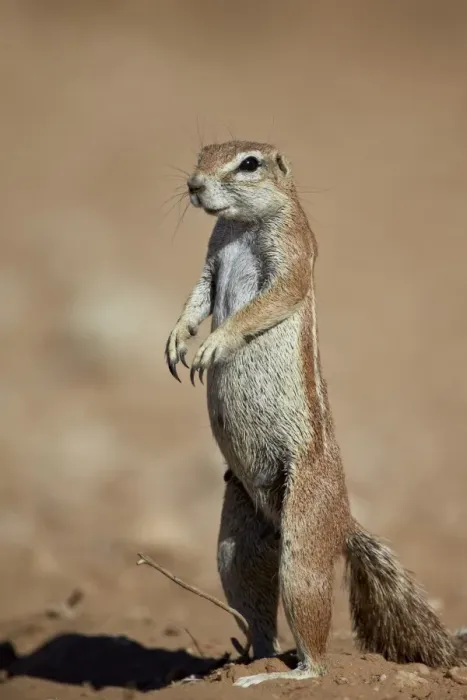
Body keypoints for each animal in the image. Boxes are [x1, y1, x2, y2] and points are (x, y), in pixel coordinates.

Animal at [165, 140, 467, 687]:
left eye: (248, 163)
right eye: (202, 154)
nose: (194, 185)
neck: (239, 226)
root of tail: (343, 521)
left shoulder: (292, 255)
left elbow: (267, 302)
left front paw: (212, 345)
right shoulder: (210, 262)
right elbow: (196, 298)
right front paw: (178, 337)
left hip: (303, 537)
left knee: (316, 646)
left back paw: (283, 675)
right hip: (236, 542)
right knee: (251, 596)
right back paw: (244, 662)